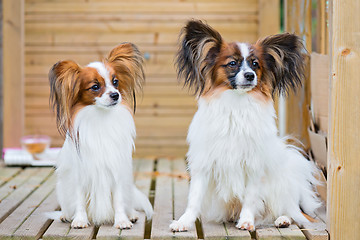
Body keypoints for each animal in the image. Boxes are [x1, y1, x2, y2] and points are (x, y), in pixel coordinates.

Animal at [48, 42, 153, 229]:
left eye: (115, 82)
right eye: (95, 87)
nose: (115, 95)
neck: (100, 117)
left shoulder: (116, 170)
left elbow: (118, 200)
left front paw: (122, 220)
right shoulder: (79, 173)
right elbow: (80, 199)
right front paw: (80, 220)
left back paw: (132, 214)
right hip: (62, 187)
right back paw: (66, 215)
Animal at [169, 20, 320, 232]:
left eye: (255, 65)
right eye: (232, 63)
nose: (249, 75)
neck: (236, 104)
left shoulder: (254, 165)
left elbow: (251, 196)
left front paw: (247, 221)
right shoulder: (204, 163)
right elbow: (194, 199)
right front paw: (184, 222)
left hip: (280, 188)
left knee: (293, 212)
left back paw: (283, 219)